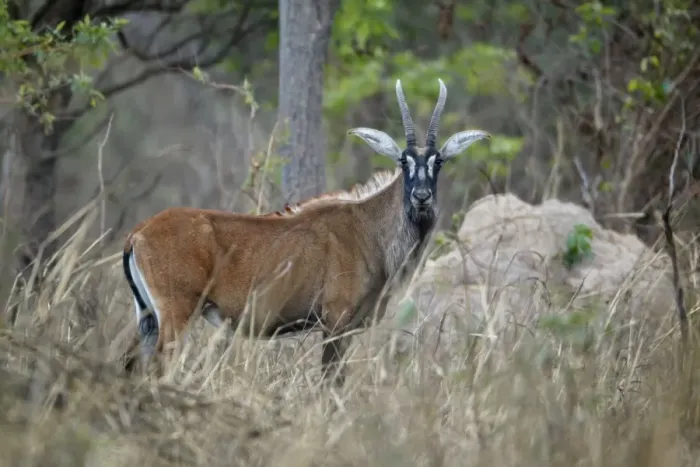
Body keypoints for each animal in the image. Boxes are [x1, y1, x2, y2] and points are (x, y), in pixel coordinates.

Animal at [122, 78, 490, 383]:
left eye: (438, 161)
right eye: (403, 160)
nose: (421, 196)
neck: (368, 227)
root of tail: (139, 233)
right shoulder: (335, 322)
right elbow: (330, 381)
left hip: (148, 319)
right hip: (176, 314)